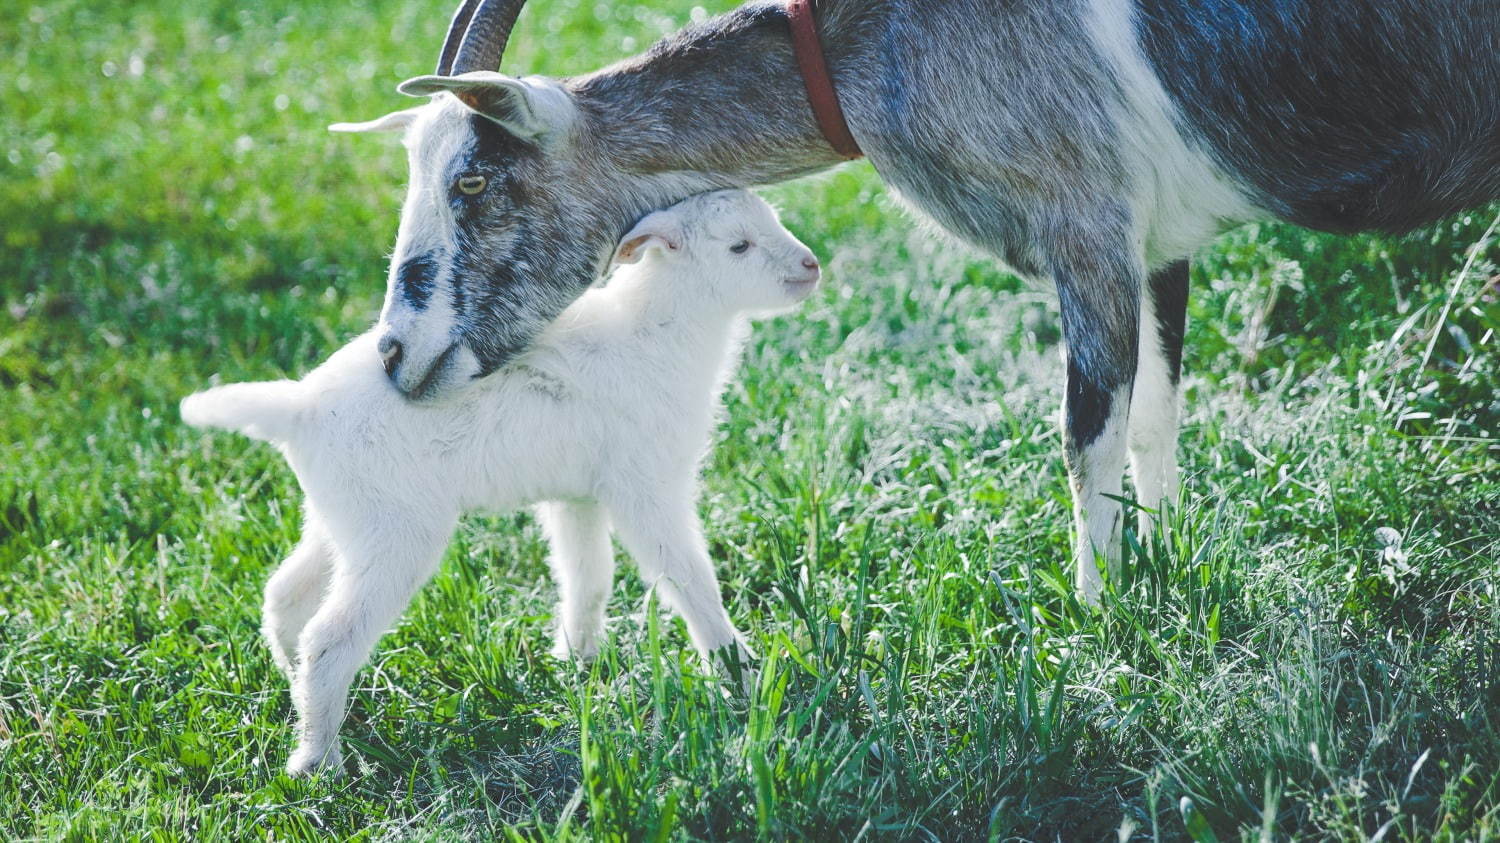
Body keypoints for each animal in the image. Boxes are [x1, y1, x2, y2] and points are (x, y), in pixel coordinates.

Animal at [186, 190, 828, 774]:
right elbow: (690, 580)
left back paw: (296, 697)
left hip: (342, 517)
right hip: (396, 533)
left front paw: (577, 661)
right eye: (739, 246)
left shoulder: (578, 495)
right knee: (328, 638)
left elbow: (587, 577)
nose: (811, 266)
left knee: (285, 594)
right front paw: (740, 672)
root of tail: (297, 409)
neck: (659, 329)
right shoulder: (646, 487)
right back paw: (319, 762)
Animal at [331, 1, 1500, 603]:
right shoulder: (1157, 239)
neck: (876, 39)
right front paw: (1168, 565)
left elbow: (1086, 434)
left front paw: (1104, 625)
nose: (395, 353)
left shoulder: (1084, 223)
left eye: (472, 182)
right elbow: (1157, 416)